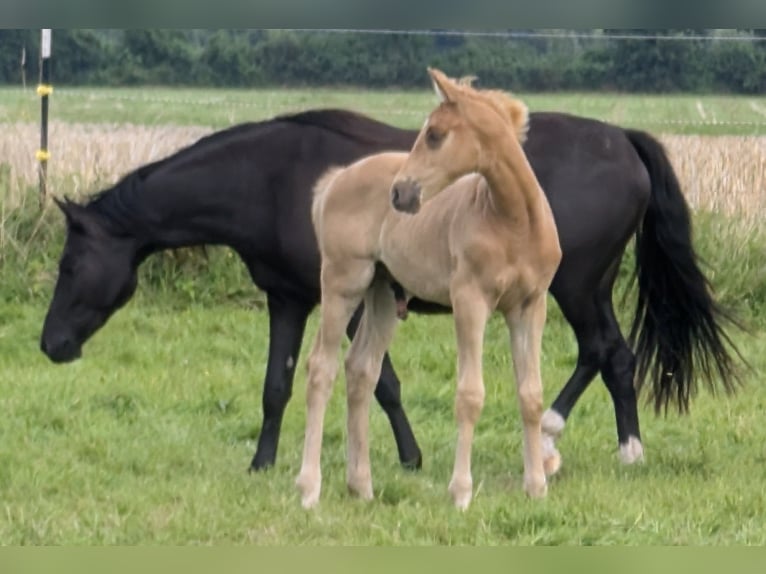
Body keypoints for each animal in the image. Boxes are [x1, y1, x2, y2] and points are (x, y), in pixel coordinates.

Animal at [39, 108, 740, 472]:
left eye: (70, 265)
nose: (50, 345)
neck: (271, 178)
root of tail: (623, 139)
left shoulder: (350, 297)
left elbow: (382, 383)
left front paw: (408, 457)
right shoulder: (289, 298)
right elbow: (276, 385)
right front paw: (262, 463)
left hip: (574, 286)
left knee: (604, 352)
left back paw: (571, 439)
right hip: (583, 288)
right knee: (614, 356)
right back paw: (619, 449)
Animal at [296, 68, 560, 512]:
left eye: (435, 134)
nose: (400, 193)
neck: (514, 223)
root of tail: (335, 181)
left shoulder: (529, 306)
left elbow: (531, 395)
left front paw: (537, 487)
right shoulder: (470, 301)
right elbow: (470, 394)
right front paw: (461, 492)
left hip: (382, 294)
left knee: (361, 369)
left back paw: (361, 486)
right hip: (343, 283)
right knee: (321, 368)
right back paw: (309, 487)